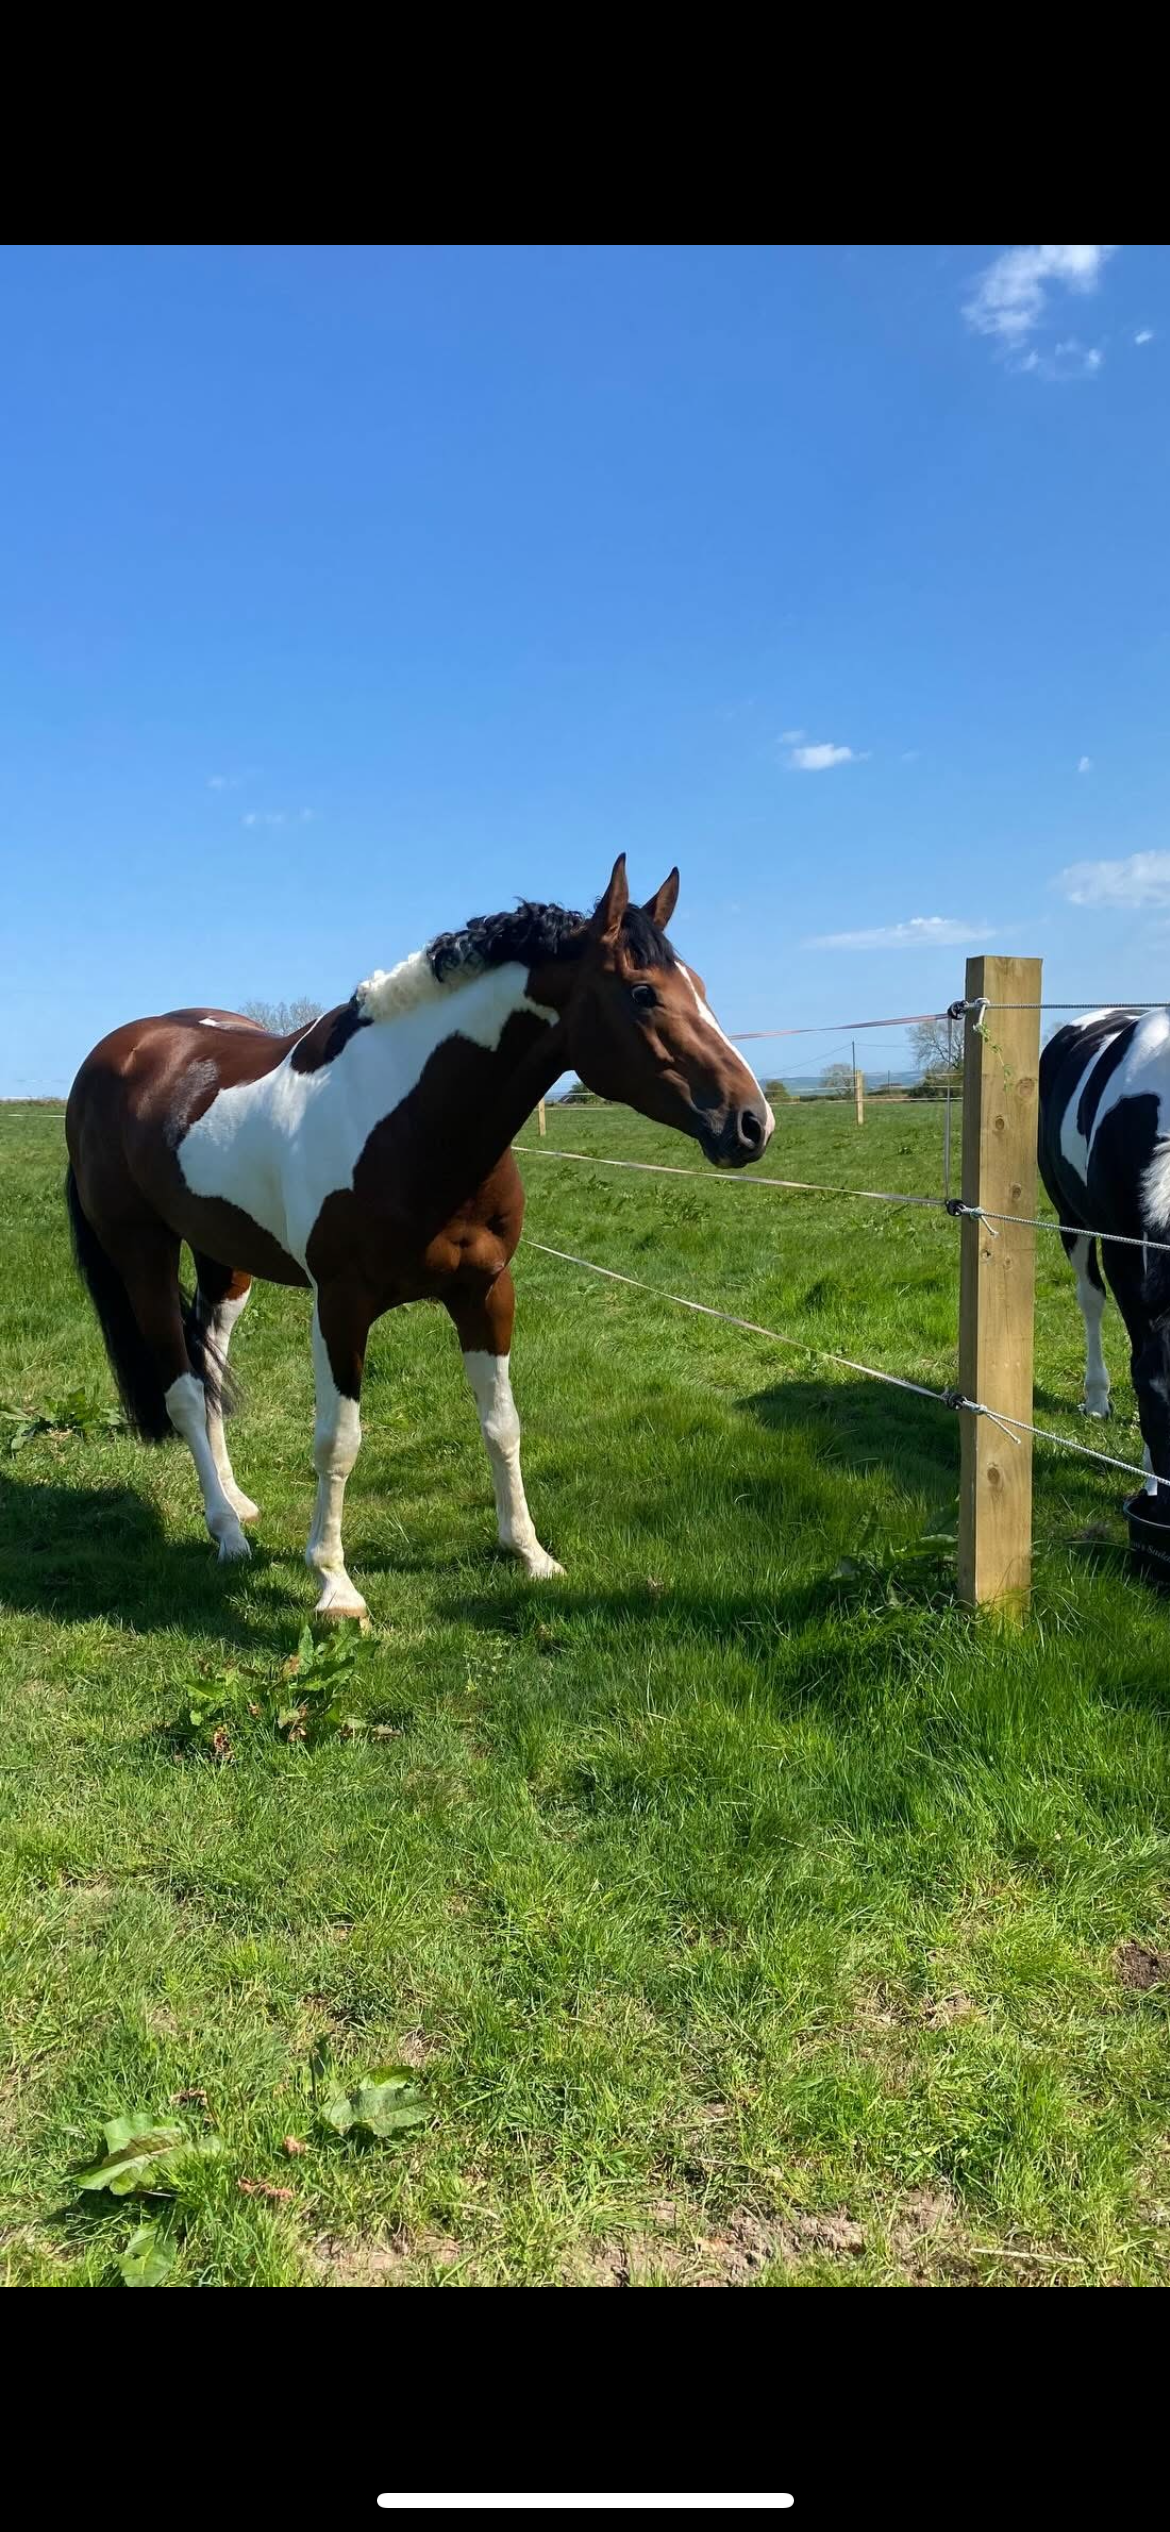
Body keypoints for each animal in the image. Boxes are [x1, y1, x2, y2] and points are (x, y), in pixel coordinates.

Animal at [66, 855, 774, 1621]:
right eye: (643, 993)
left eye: (699, 988)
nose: (751, 1123)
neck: (411, 1123)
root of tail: (119, 1052)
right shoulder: (340, 1305)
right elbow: (338, 1441)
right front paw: (335, 1584)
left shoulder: (485, 1291)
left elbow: (502, 1423)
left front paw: (528, 1552)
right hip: (143, 1256)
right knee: (184, 1391)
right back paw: (225, 1532)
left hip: (226, 1264)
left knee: (209, 1366)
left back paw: (237, 1503)